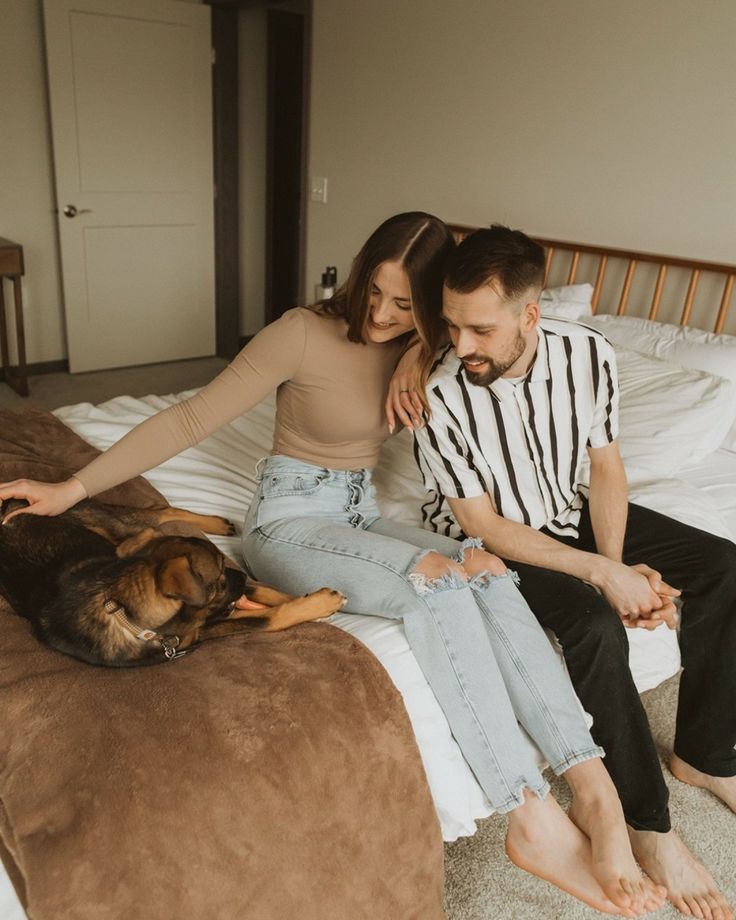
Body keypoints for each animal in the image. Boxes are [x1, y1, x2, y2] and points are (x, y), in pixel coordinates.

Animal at [0, 496, 346, 668]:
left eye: (224, 566)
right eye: (219, 577)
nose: (241, 575)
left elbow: (268, 592)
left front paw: (315, 599)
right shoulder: (202, 628)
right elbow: (269, 617)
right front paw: (320, 604)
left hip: (111, 527)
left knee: (159, 512)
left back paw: (215, 523)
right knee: (156, 514)